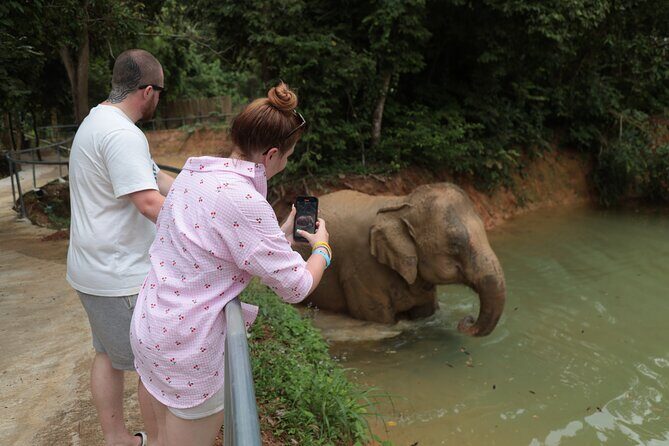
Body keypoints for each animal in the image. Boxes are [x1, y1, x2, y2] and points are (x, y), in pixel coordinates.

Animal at [299, 183, 506, 337]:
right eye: (455, 245)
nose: (466, 320)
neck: (402, 204)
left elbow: (425, 311)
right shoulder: (360, 269)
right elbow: (380, 320)